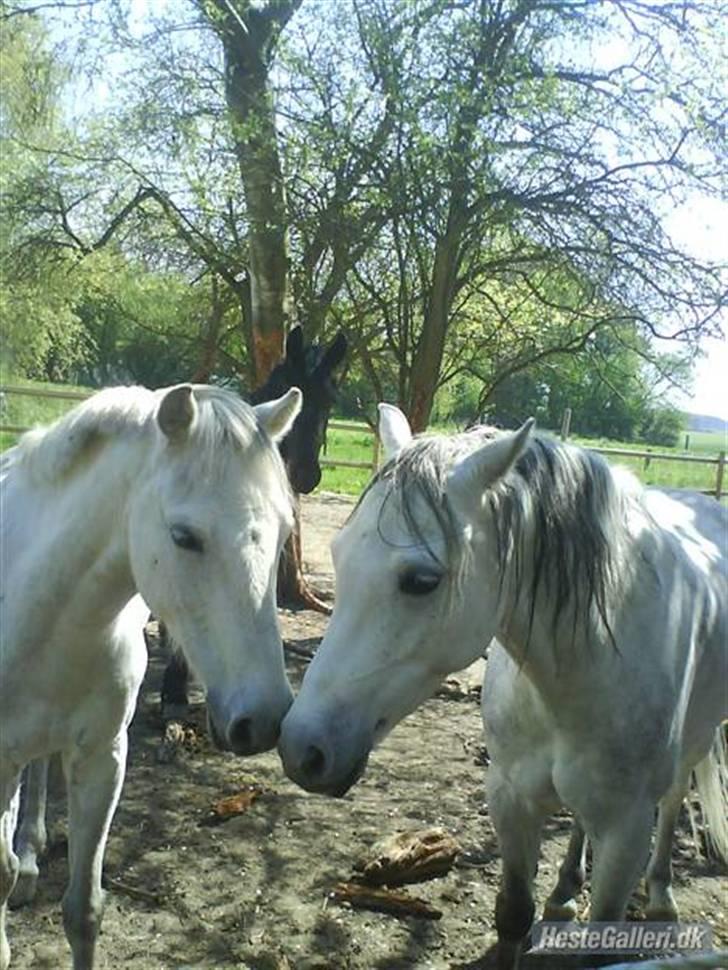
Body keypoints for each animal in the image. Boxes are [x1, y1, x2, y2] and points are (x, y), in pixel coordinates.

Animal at [278, 404, 728, 969]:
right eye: (339, 556)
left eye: (422, 580)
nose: (301, 750)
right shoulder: (509, 796)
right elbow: (514, 912)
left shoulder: (626, 832)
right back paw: (564, 892)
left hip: (694, 743)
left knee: (673, 799)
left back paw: (663, 896)